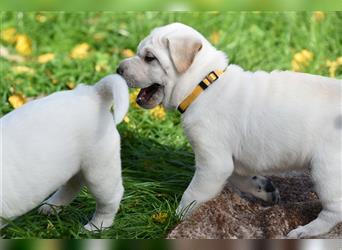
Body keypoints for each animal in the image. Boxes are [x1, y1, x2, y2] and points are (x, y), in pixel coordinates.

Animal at [0, 74, 129, 230]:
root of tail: (93, 94)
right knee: (72, 185)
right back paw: (52, 206)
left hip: (99, 172)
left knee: (110, 200)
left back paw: (96, 226)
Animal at [118, 22, 342, 238]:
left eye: (149, 58)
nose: (118, 68)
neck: (203, 86)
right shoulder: (230, 161)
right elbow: (240, 178)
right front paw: (264, 189)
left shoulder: (213, 163)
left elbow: (192, 195)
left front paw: (177, 218)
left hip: (326, 171)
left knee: (334, 210)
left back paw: (307, 230)